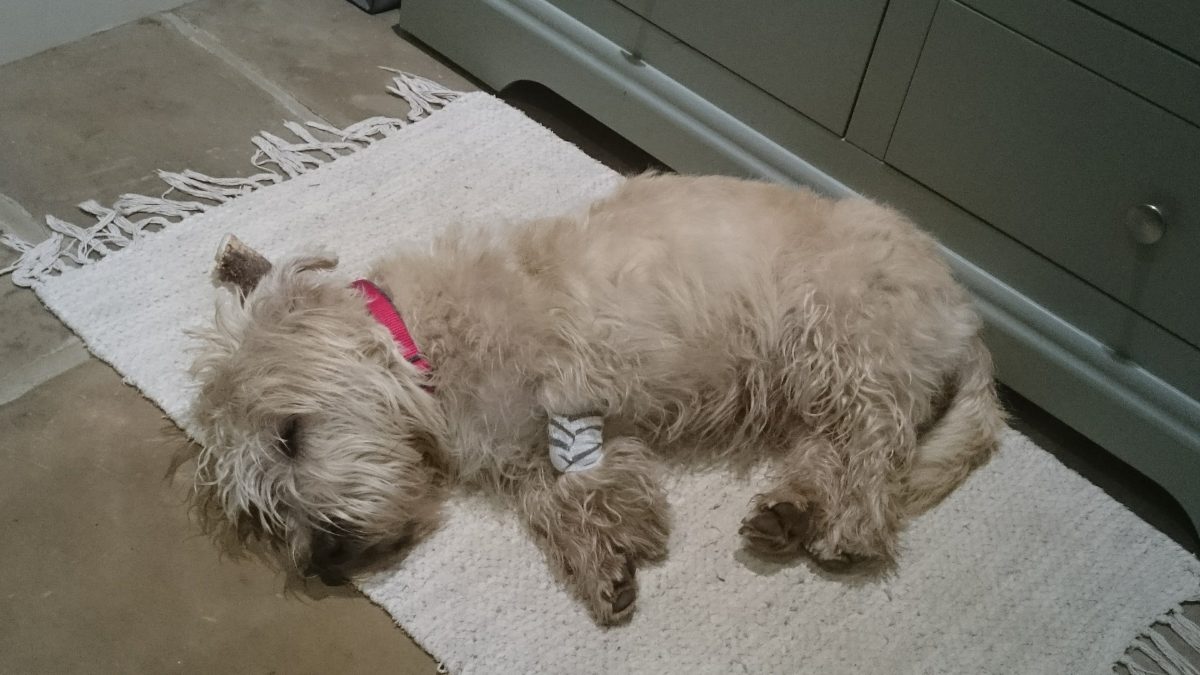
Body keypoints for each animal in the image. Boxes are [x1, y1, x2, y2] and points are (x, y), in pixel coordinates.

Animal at [192, 171, 1003, 619]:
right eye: (266, 509)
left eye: (290, 435)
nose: (327, 560)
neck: (423, 342)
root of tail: (966, 313)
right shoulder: (524, 446)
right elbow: (556, 495)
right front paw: (604, 560)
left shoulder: (577, 372)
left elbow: (579, 471)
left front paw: (616, 535)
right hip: (810, 384)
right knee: (828, 449)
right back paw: (789, 512)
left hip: (837, 339)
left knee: (876, 445)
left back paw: (850, 528)